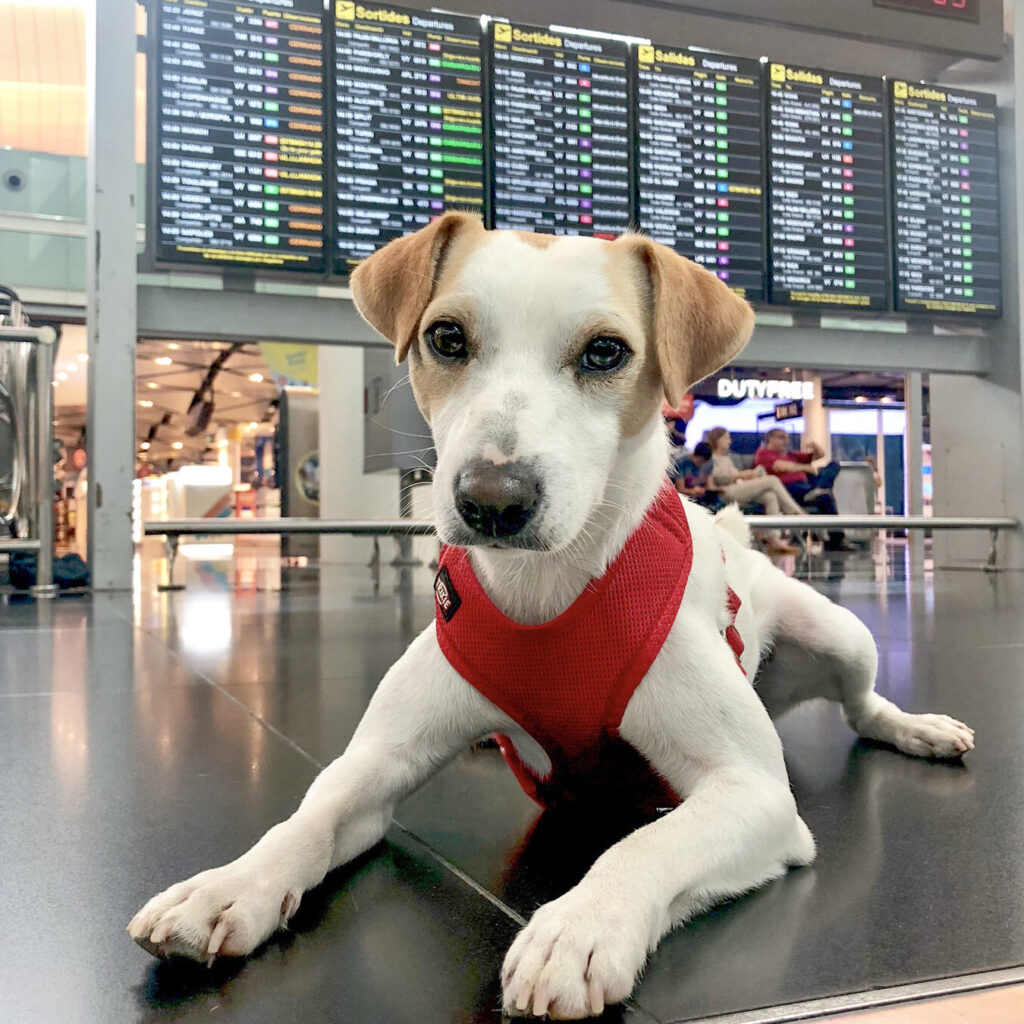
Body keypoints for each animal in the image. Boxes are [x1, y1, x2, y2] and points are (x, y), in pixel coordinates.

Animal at [130, 214, 974, 1015]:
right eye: (446, 337)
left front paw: (581, 927)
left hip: (842, 635)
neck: (544, 589)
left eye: (605, 352)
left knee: (863, 707)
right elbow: (314, 812)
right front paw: (229, 885)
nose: (492, 499)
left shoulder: (753, 792)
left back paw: (919, 728)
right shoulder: (377, 762)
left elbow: (646, 846)